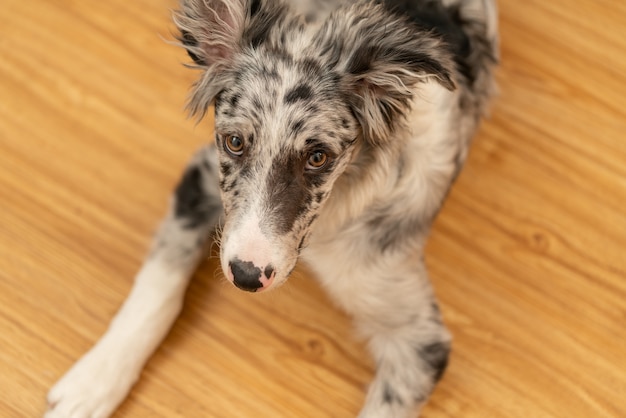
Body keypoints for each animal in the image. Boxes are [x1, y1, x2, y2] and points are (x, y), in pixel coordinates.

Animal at [44, 1, 494, 416]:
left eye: (318, 157)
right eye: (234, 142)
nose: (246, 276)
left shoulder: (417, 337)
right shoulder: (203, 178)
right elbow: (158, 286)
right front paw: (94, 382)